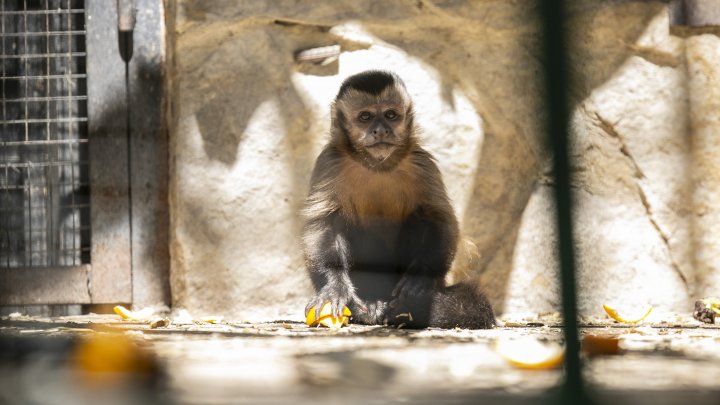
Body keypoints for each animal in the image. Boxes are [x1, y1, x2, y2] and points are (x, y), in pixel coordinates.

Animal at [302, 70, 496, 328]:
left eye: (391, 115)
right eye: (365, 117)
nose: (381, 130)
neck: (377, 166)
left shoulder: (421, 164)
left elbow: (440, 218)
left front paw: (419, 278)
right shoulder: (329, 163)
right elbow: (323, 223)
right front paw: (334, 286)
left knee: (421, 218)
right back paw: (368, 305)